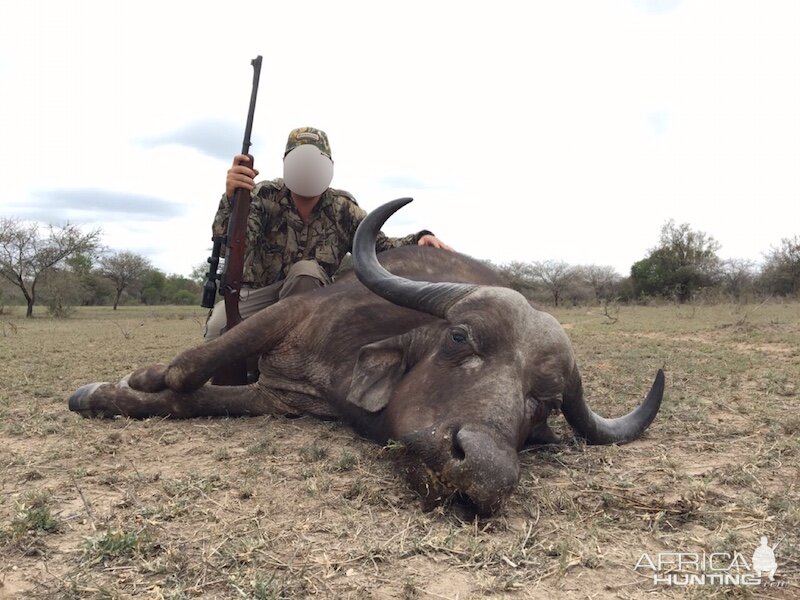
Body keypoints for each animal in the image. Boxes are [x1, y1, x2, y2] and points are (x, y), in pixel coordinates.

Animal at [72, 198, 664, 516]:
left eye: (544, 401)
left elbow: (195, 401)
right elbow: (189, 366)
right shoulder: (291, 316)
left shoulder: (282, 400)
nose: (484, 471)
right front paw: (134, 379)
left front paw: (107, 393)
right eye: (459, 337)